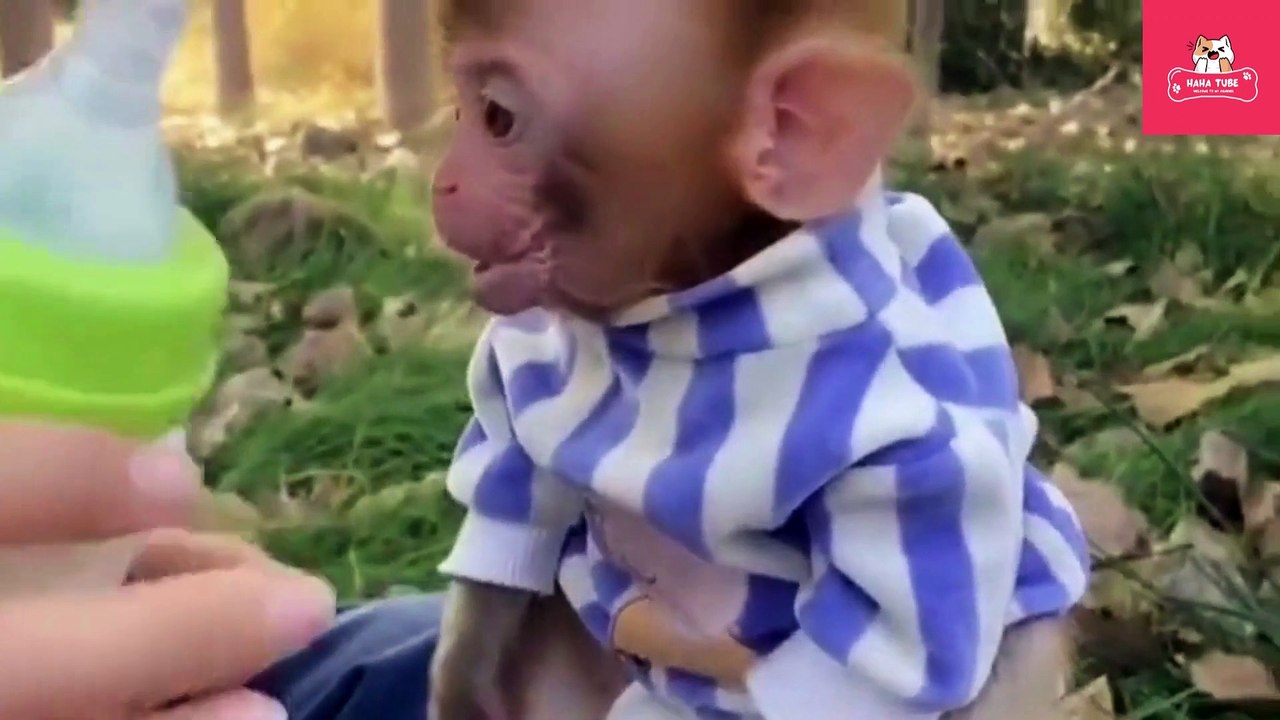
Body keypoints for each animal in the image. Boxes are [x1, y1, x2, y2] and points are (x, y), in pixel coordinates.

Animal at [425, 1, 1092, 719]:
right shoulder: (532, 339)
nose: (442, 182)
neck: (684, 314)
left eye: (496, 116)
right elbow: (512, 485)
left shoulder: (914, 444)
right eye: (460, 109)